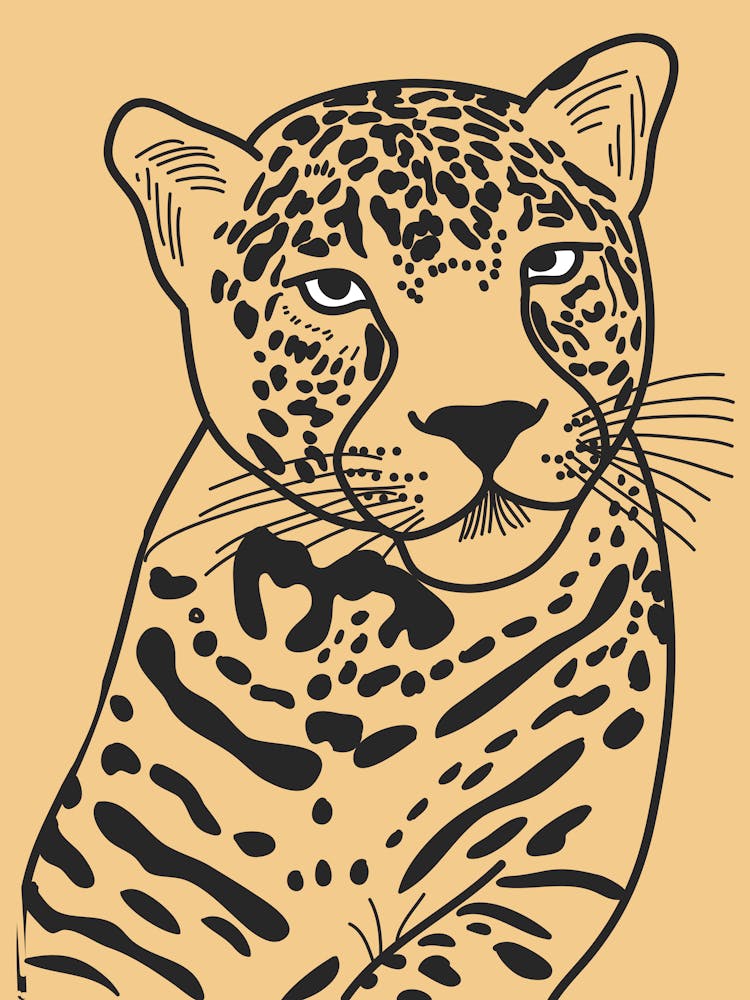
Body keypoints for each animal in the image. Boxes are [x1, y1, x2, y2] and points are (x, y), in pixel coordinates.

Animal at [19, 33, 683, 1000]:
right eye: (333, 290)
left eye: (552, 264)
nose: (486, 420)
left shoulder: (540, 872)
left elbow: (422, 976)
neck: (379, 654)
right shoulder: (102, 908)